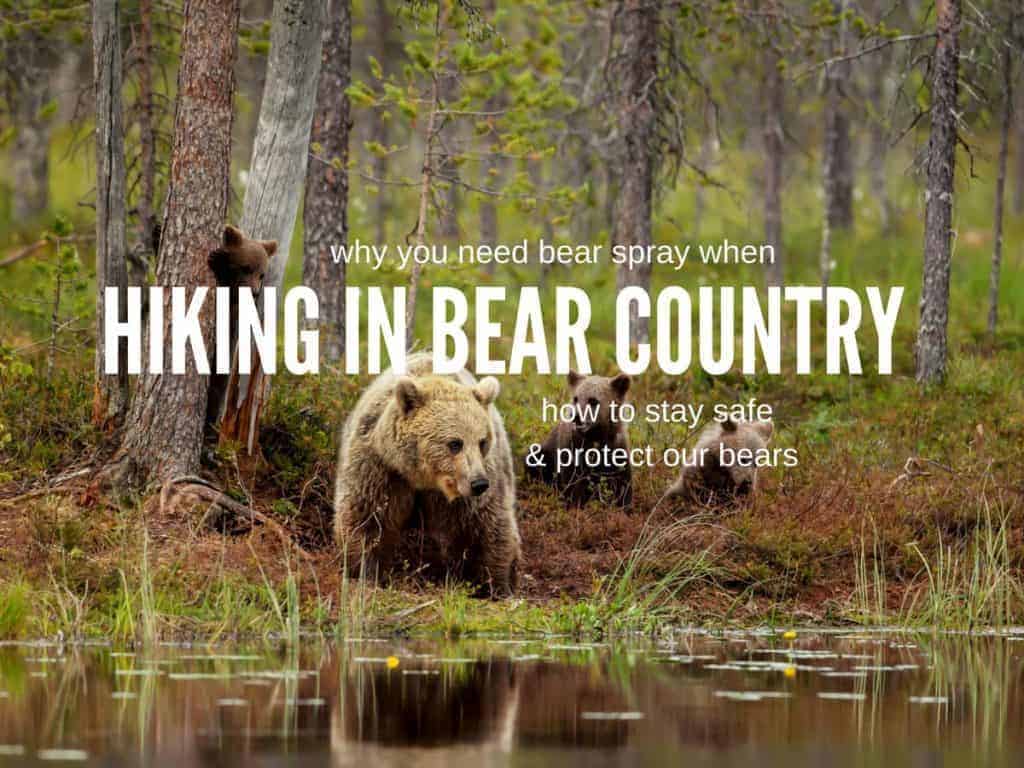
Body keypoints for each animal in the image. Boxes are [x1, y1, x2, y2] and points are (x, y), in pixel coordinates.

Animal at [334, 353, 520, 597]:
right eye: (455, 443)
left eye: (482, 442)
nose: (479, 483)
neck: (424, 479)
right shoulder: (381, 467)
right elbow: (366, 517)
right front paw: (364, 571)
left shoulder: (480, 483)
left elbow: (487, 526)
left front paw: (493, 584)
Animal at [525, 370, 633, 508]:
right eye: (576, 398)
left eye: (593, 400)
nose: (576, 416)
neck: (596, 435)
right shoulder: (572, 447)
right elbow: (573, 481)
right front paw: (576, 504)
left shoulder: (616, 446)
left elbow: (623, 481)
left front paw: (624, 505)